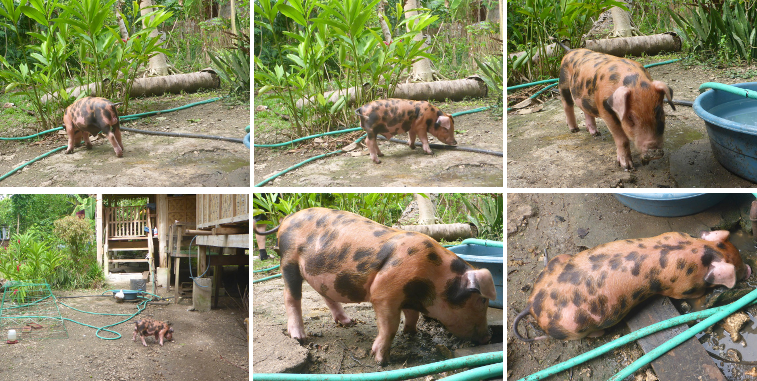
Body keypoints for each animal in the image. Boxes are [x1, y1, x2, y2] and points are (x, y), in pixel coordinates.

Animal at [256, 206, 500, 364]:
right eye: (482, 300)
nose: (488, 337)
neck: (433, 277)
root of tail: (287, 218)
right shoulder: (384, 293)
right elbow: (389, 327)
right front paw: (381, 360)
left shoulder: (408, 296)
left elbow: (412, 315)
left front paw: (411, 334)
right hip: (288, 260)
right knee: (291, 297)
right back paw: (299, 337)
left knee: (326, 296)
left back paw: (348, 322)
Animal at [510, 230, 748, 340]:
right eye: (736, 268)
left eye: (736, 251)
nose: (749, 269)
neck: (699, 251)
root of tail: (532, 305)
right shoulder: (681, 287)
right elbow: (691, 296)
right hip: (574, 326)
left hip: (559, 259)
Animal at [556, 41, 672, 169]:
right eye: (630, 117)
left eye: (660, 113)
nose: (654, 153)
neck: (635, 83)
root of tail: (570, 51)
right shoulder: (604, 109)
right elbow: (622, 139)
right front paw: (627, 167)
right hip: (563, 82)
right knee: (567, 105)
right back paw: (574, 130)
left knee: (586, 110)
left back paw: (596, 134)